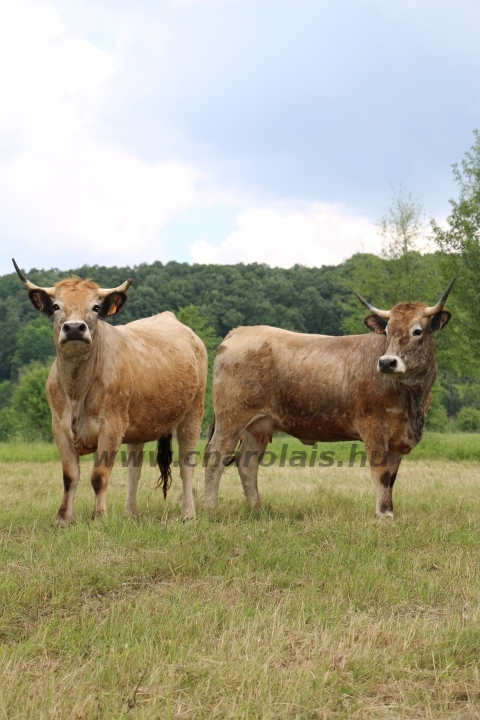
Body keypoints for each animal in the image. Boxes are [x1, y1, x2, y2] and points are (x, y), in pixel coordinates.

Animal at [12, 258, 206, 524]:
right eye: (56, 306)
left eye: (95, 307)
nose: (74, 328)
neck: (77, 390)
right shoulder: (59, 426)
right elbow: (70, 476)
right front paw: (63, 519)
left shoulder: (111, 425)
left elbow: (99, 475)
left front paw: (99, 517)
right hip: (137, 424)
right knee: (135, 468)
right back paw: (129, 514)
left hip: (193, 413)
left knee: (186, 464)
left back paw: (188, 514)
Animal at [203, 282, 454, 516]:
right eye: (388, 331)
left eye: (417, 331)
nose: (386, 363)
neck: (412, 399)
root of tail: (240, 331)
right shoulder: (373, 427)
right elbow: (381, 473)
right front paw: (383, 515)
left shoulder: (399, 436)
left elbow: (391, 477)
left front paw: (389, 511)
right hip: (231, 419)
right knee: (216, 456)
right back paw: (211, 509)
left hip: (257, 426)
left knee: (248, 463)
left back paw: (257, 510)